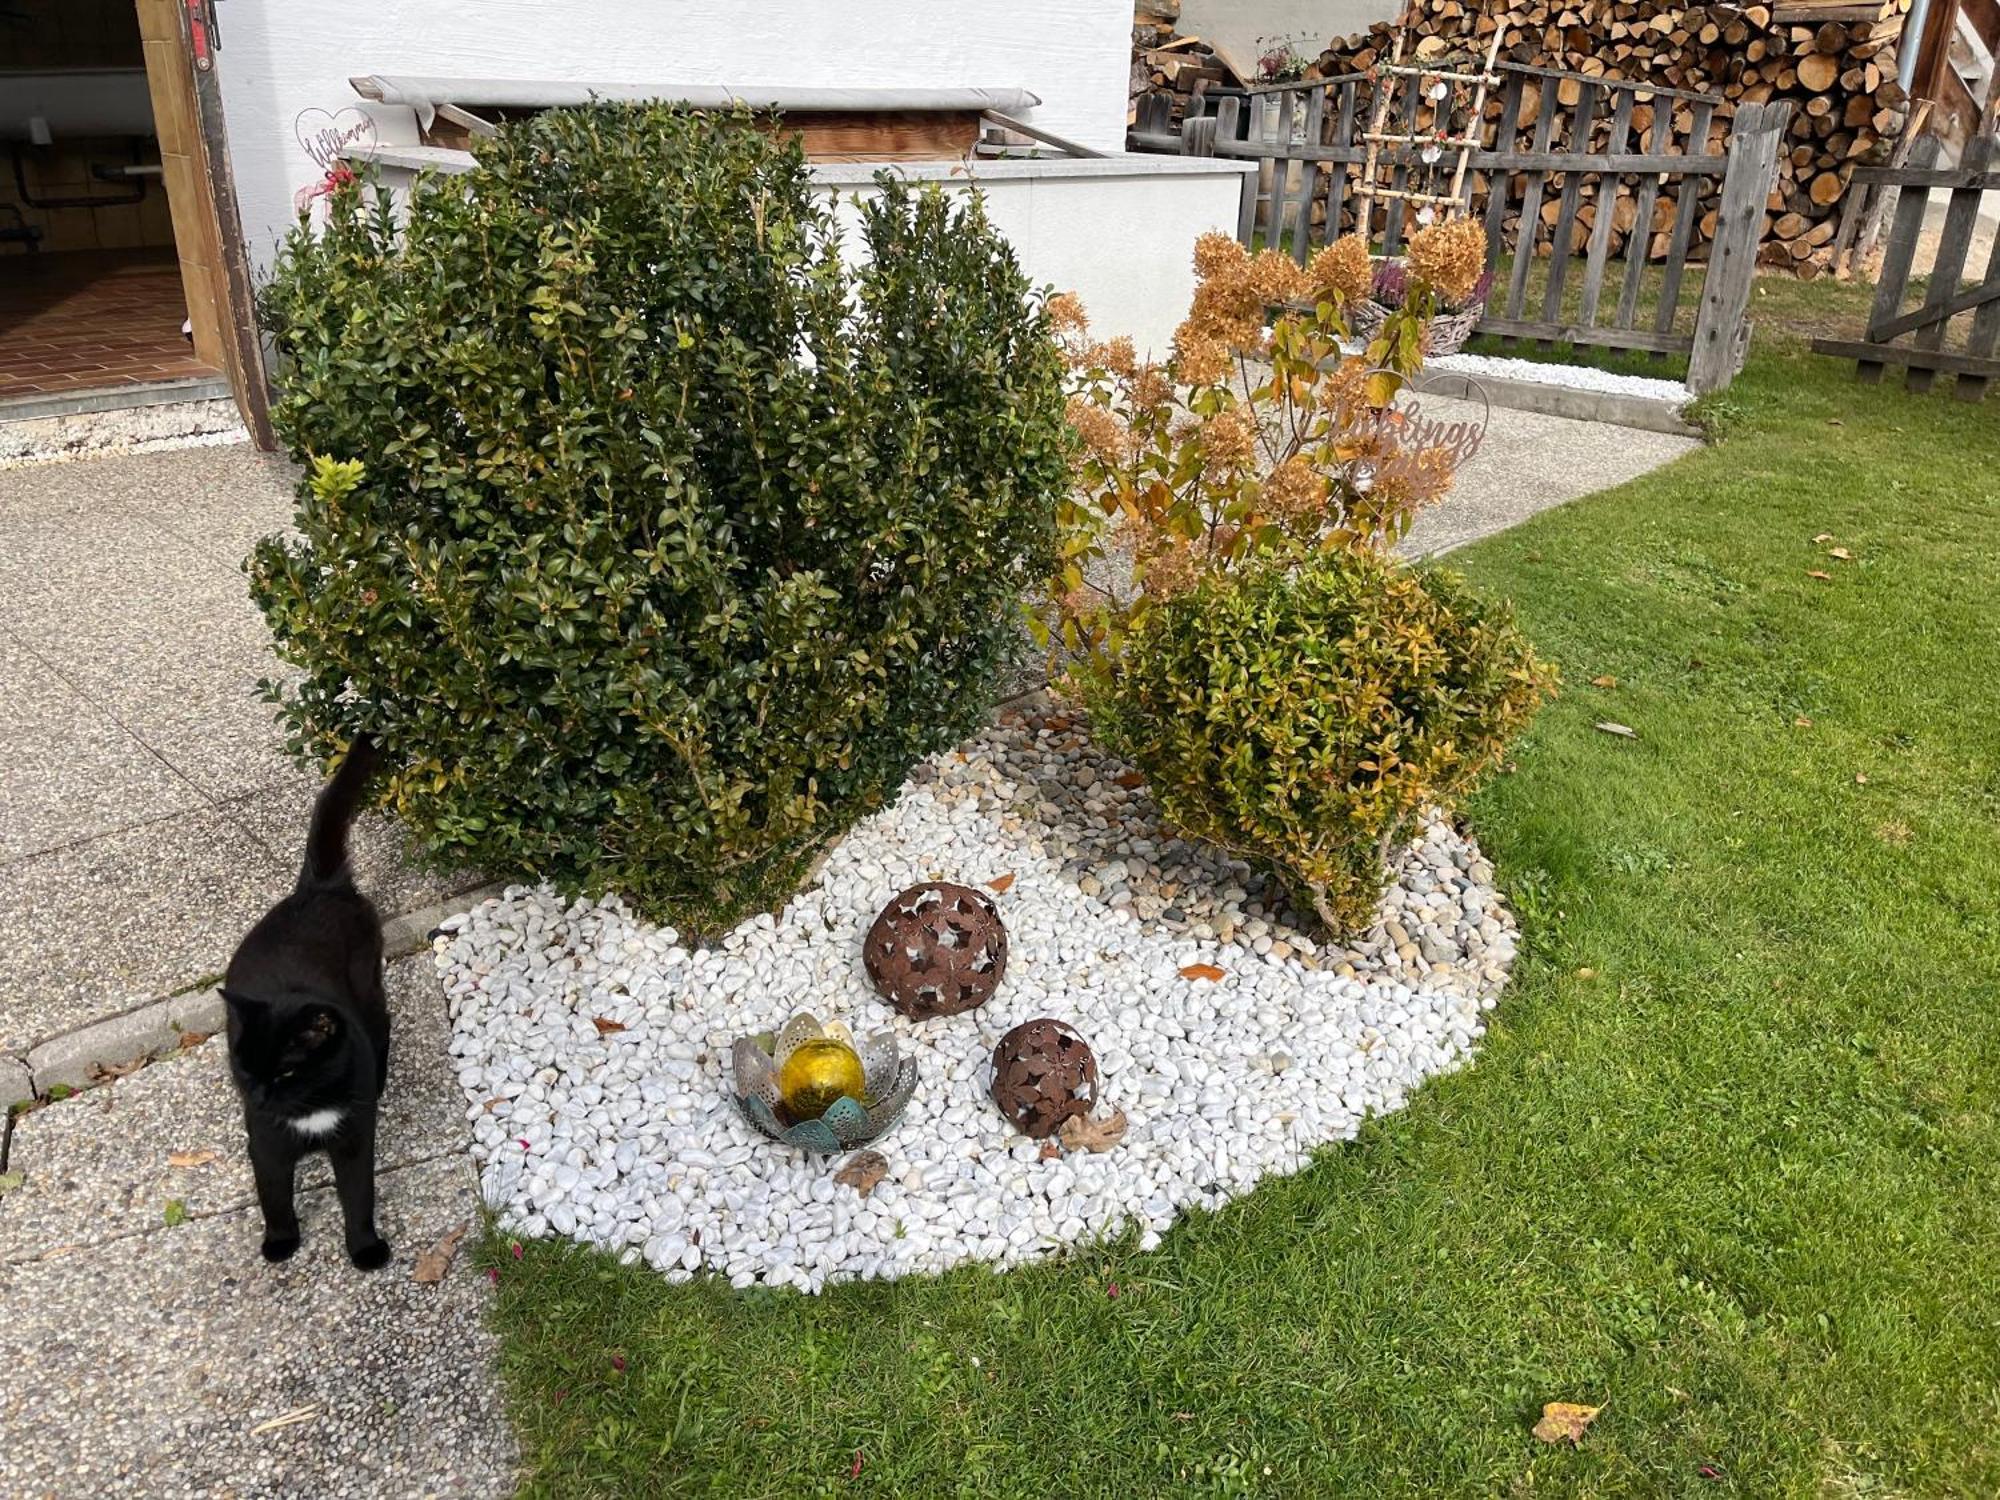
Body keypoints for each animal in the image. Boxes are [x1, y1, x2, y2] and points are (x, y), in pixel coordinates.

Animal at [222, 736, 390, 1272]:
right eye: (245, 1069)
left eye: (286, 1071)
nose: (257, 1097)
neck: (310, 1108)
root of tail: (316, 888)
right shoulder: (266, 1142)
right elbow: (274, 1196)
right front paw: (280, 1243)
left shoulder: (354, 1138)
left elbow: (358, 1196)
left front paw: (365, 1249)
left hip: (371, 990)